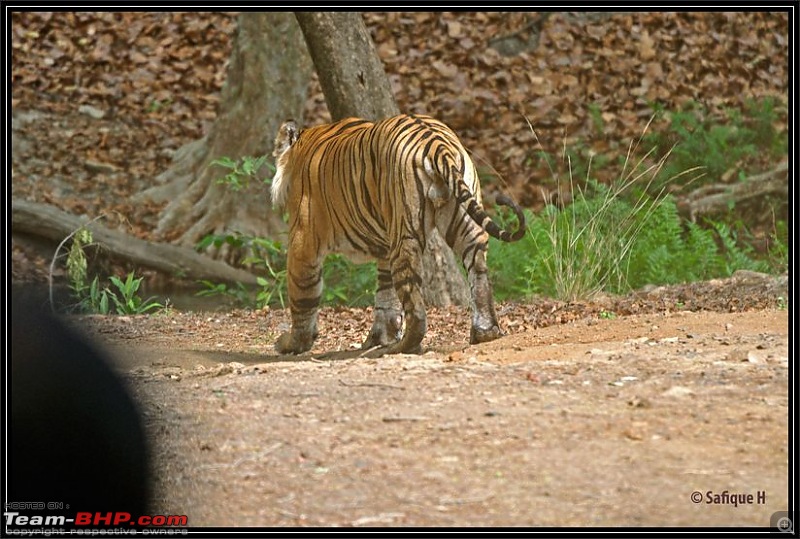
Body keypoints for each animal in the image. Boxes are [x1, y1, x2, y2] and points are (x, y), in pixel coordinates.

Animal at [272, 113, 528, 358]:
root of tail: (437, 143)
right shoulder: (385, 244)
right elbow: (386, 294)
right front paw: (380, 336)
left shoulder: (303, 241)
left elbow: (302, 296)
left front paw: (293, 343)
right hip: (464, 226)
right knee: (479, 274)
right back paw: (485, 332)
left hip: (406, 235)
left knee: (415, 306)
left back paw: (404, 346)